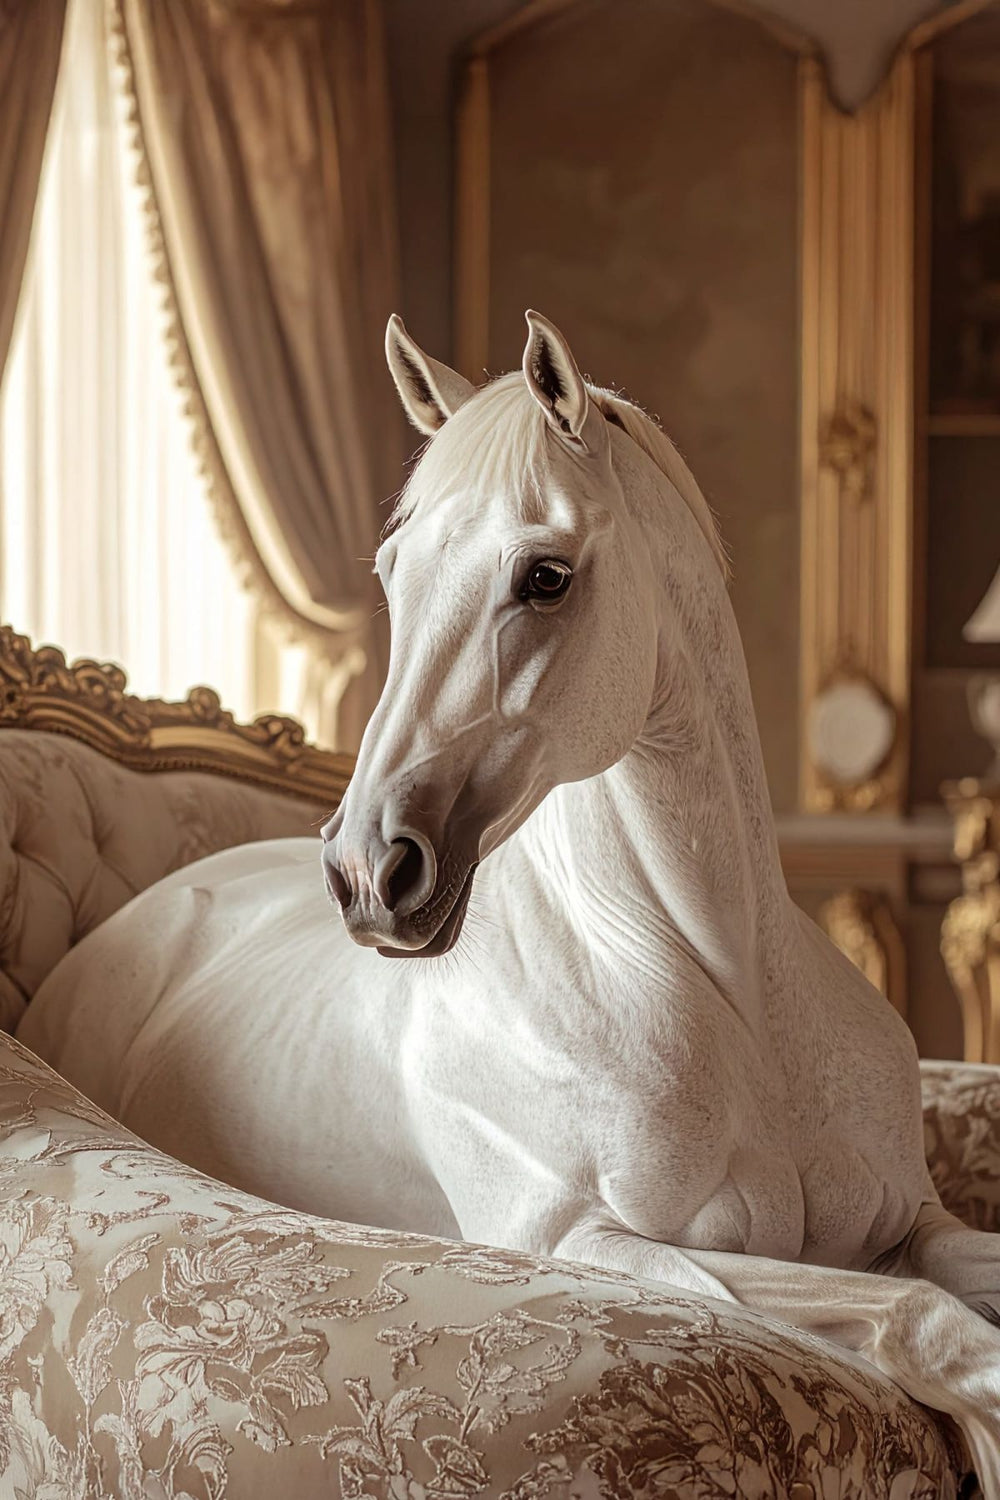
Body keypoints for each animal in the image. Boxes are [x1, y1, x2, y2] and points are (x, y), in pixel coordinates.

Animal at [22, 311, 1000, 1488]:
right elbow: (931, 1323)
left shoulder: (911, 1219)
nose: (368, 871)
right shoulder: (593, 1243)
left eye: (546, 576)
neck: (726, 988)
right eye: (393, 569)